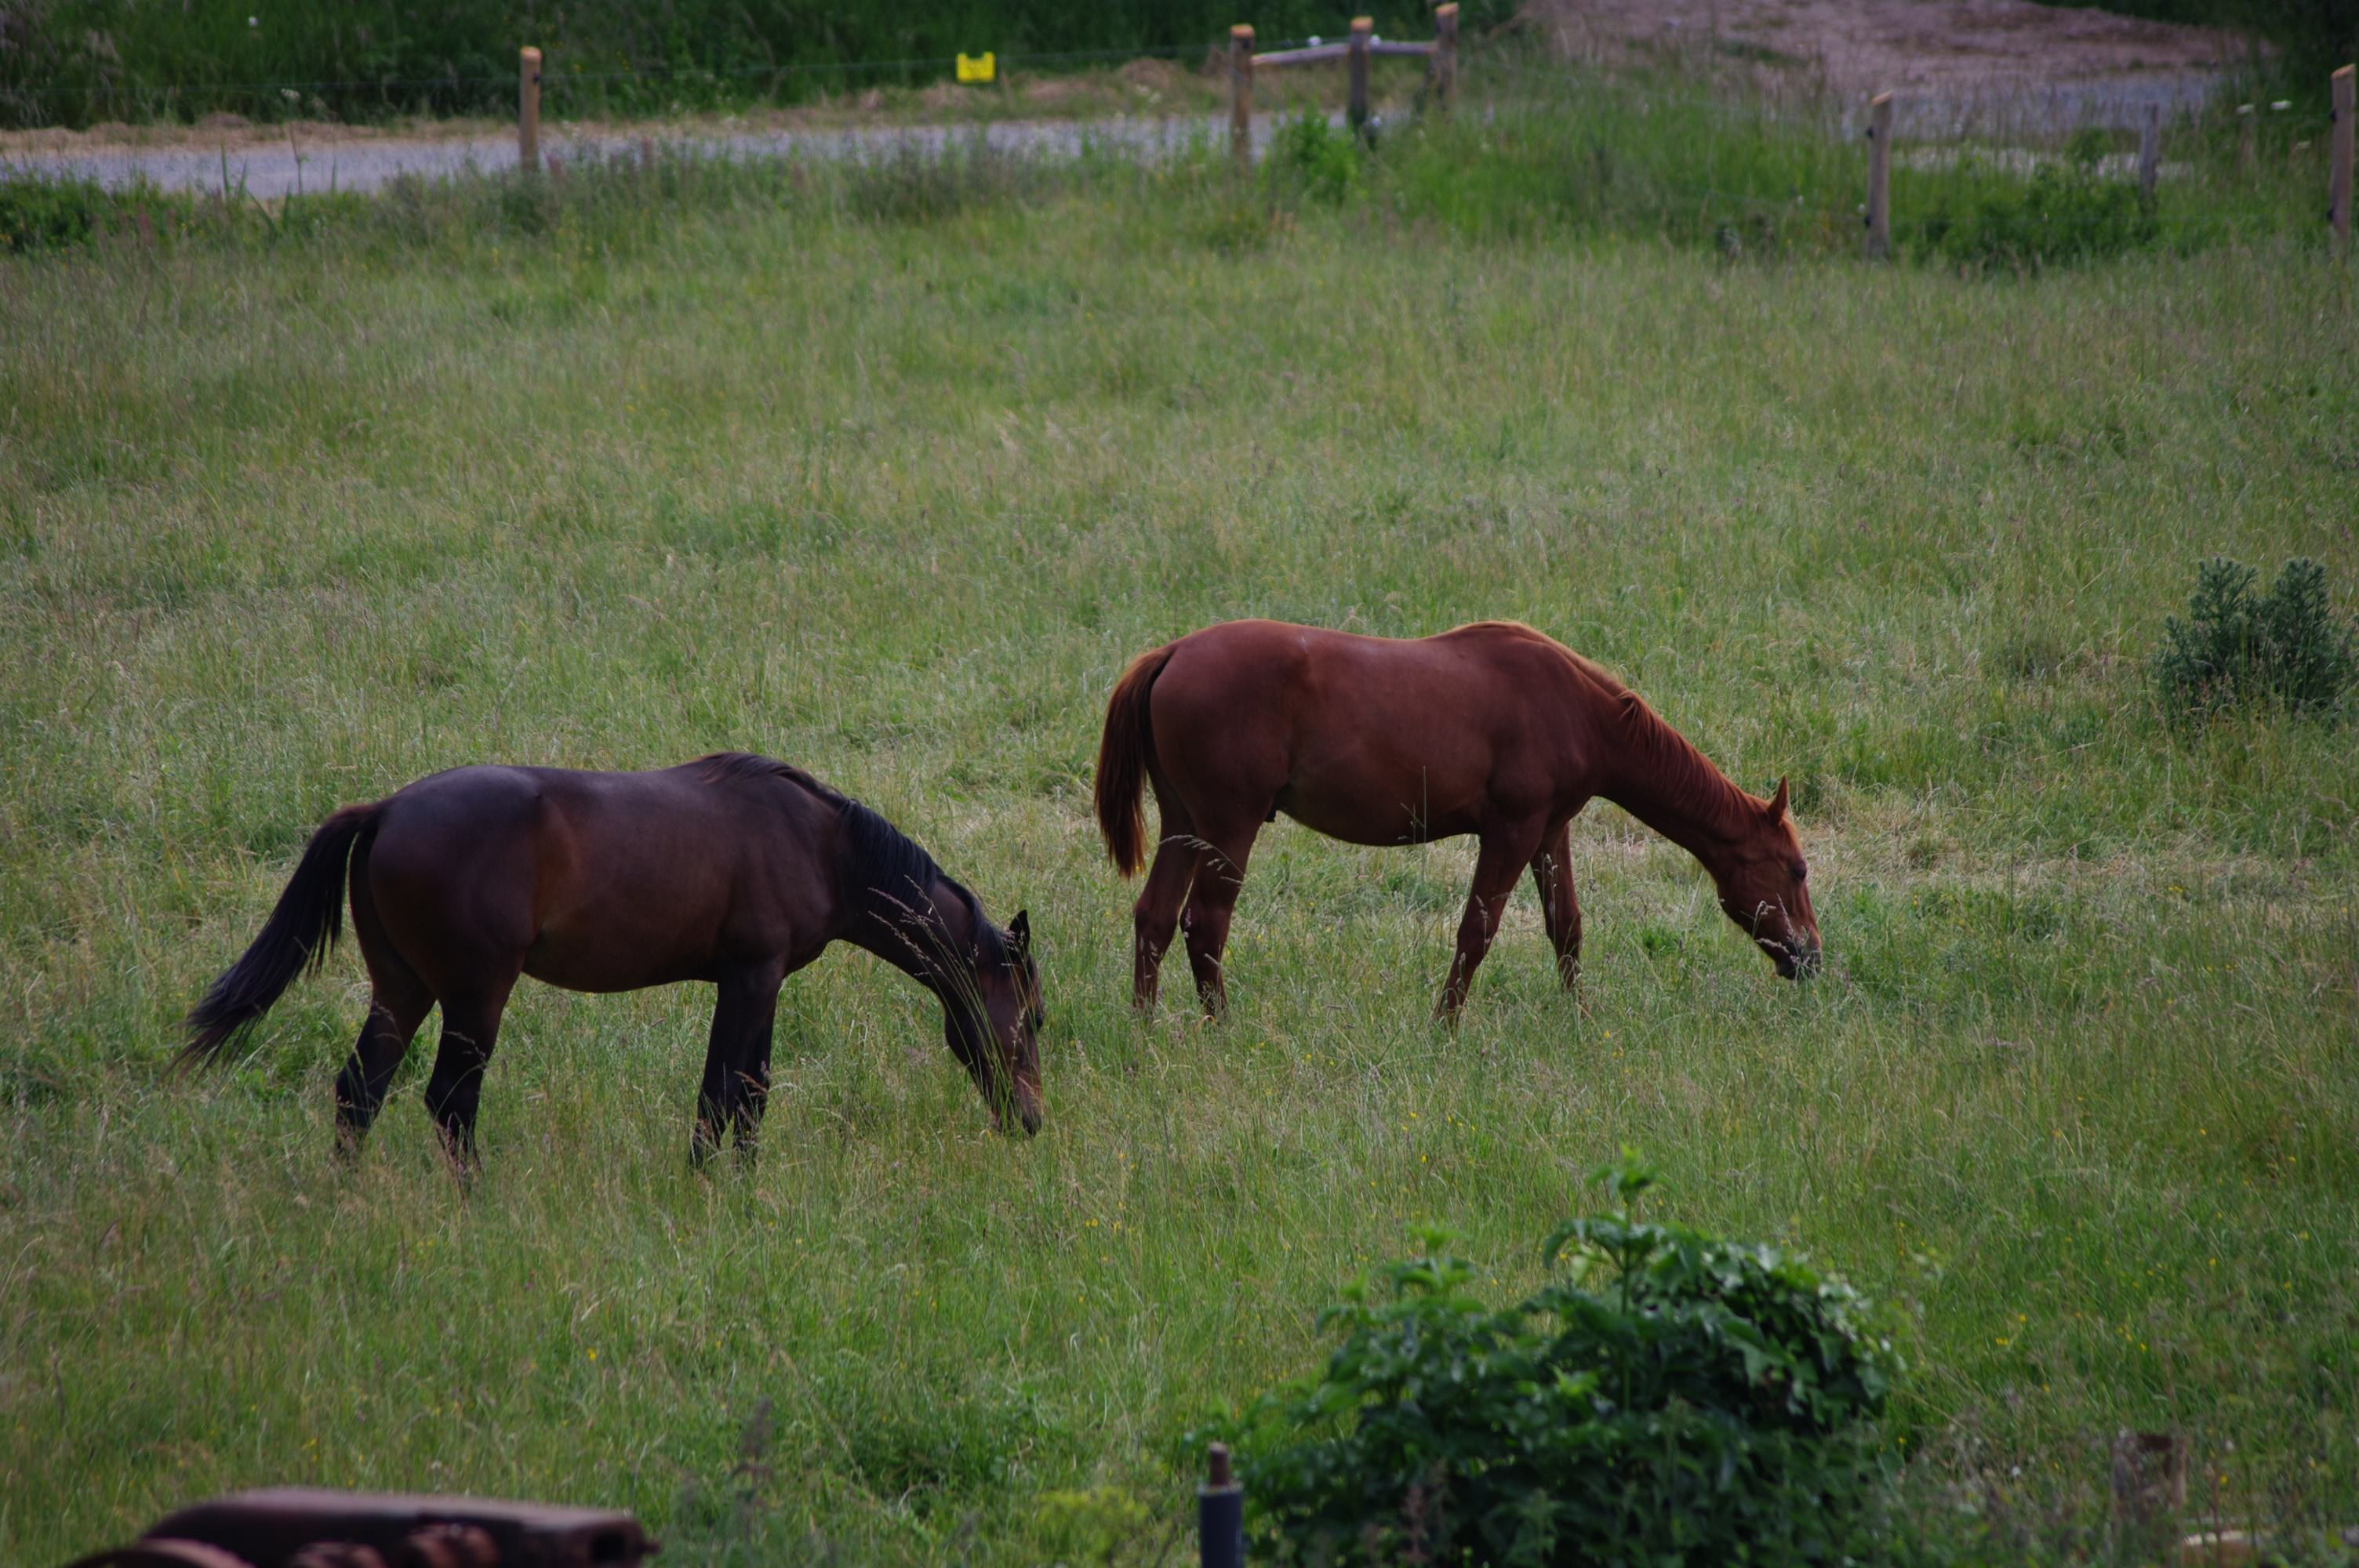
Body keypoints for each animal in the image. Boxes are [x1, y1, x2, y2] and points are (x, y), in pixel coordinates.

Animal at [188, 754, 1056, 1169]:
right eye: (1037, 1018)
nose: (1031, 1121)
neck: (821, 842)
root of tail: (386, 811)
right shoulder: (754, 976)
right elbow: (731, 1091)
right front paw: (717, 1183)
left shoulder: (748, 982)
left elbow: (738, 1090)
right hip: (474, 995)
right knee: (449, 1102)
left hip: (402, 988)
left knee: (358, 1093)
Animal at [1089, 617, 1821, 1023]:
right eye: (1796, 869)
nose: (1811, 958)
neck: (1574, 706)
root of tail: (1172, 654)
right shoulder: (1511, 832)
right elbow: (1477, 931)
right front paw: (1444, 1028)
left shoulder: (1549, 832)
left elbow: (1567, 929)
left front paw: (1581, 1020)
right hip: (1228, 828)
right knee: (1204, 925)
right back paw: (1222, 1030)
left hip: (1185, 823)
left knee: (1155, 919)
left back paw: (1144, 1030)